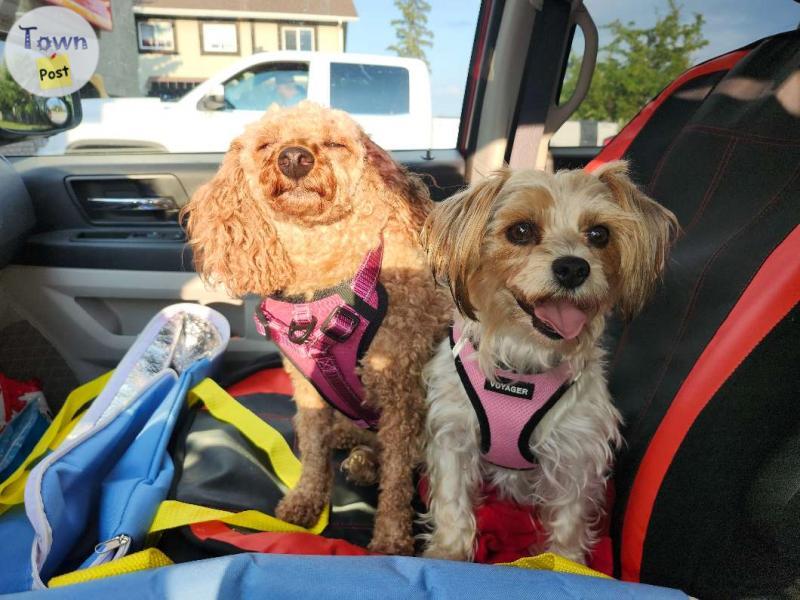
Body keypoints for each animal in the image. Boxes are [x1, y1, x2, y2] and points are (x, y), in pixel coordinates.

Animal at [418, 161, 676, 564]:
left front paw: (564, 562)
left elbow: (570, 516)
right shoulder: (453, 430)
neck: (522, 362)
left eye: (599, 234)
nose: (573, 267)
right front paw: (448, 551)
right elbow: (452, 500)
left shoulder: (577, 449)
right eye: (521, 230)